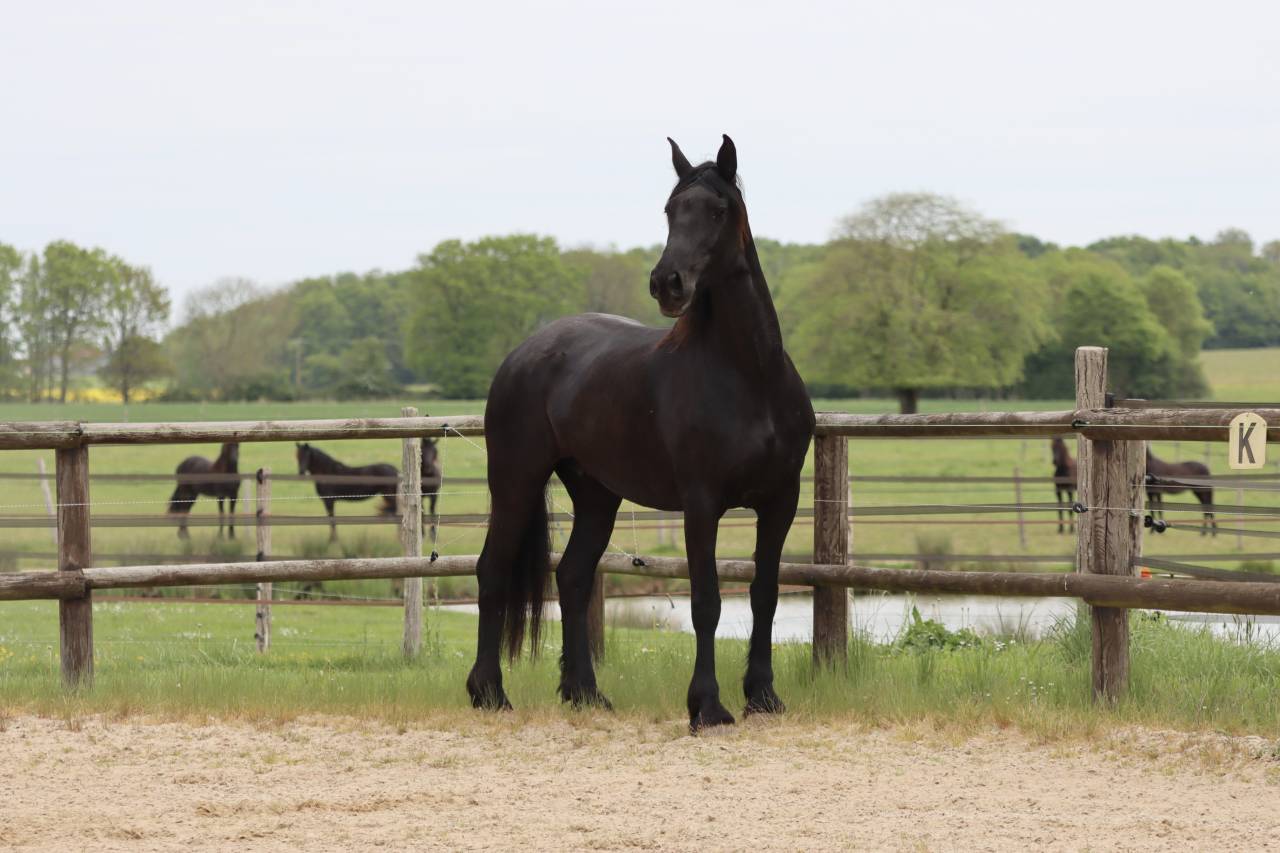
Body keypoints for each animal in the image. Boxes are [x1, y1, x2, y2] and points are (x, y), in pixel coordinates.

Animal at [465, 135, 815, 731]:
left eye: (717, 210)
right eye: (671, 209)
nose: (666, 283)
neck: (750, 378)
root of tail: (524, 353)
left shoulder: (780, 501)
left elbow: (764, 594)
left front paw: (763, 697)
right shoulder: (702, 504)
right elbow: (707, 602)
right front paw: (707, 706)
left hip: (596, 495)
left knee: (573, 577)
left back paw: (585, 692)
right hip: (515, 480)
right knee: (493, 571)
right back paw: (489, 692)